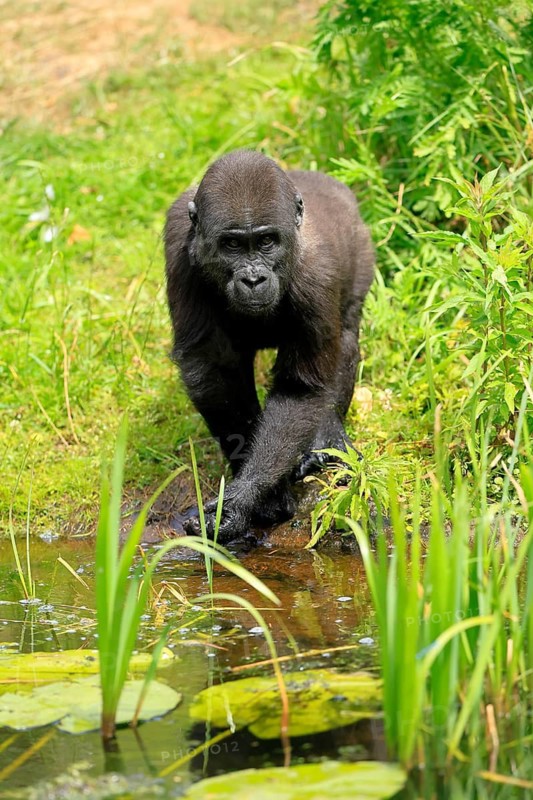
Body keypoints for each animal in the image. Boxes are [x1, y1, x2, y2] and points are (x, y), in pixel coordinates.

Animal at [164, 150, 374, 541]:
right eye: (232, 245)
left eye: (266, 243)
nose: (253, 279)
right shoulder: (177, 247)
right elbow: (212, 370)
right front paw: (259, 495)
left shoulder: (316, 275)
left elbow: (300, 390)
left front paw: (243, 498)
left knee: (346, 333)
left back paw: (328, 437)